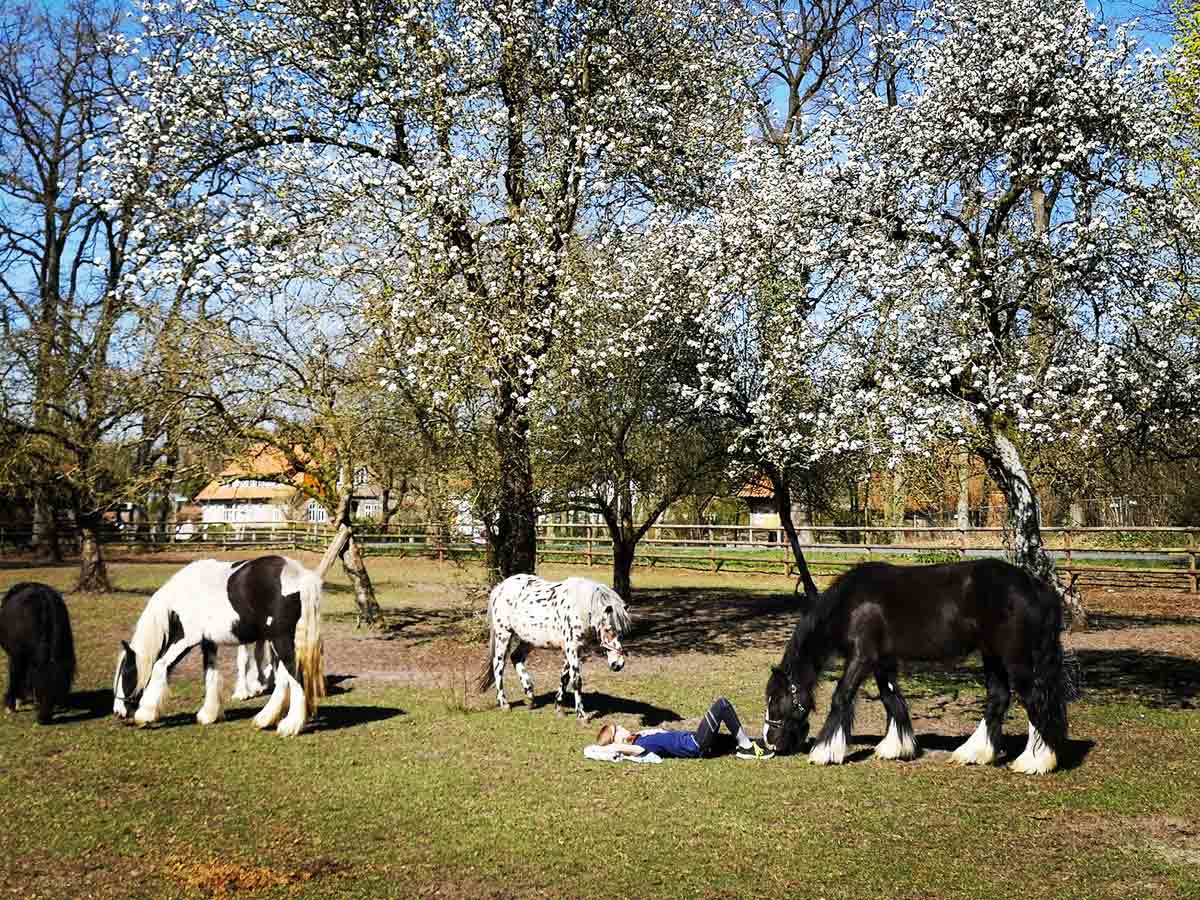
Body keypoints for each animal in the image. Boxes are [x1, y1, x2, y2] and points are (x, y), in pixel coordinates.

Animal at [1, 583, 75, 724]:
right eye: (39, 688)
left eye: (58, 689)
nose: (43, 719)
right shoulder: (16, 656)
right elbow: (14, 676)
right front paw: (10, 705)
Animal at [113, 555, 324, 736]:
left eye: (126, 674)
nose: (117, 712)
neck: (183, 594)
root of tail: (300, 575)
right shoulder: (208, 642)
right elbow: (210, 673)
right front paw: (209, 714)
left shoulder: (185, 640)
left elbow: (160, 666)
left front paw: (145, 714)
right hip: (277, 643)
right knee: (282, 677)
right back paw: (265, 719)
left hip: (280, 640)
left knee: (295, 675)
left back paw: (290, 726)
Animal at [478, 575, 631, 719]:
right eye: (608, 630)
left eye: (621, 631)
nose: (618, 664)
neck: (579, 608)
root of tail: (500, 587)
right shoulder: (571, 647)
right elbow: (576, 679)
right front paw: (582, 715)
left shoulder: (575, 649)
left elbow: (565, 677)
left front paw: (559, 707)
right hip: (503, 634)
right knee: (498, 665)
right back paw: (504, 703)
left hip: (529, 640)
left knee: (516, 657)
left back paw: (530, 696)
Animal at [763, 559, 1077, 775]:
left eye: (776, 701)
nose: (770, 741)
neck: (852, 604)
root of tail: (1037, 587)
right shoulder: (882, 661)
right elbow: (892, 700)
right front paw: (896, 747)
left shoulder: (862, 658)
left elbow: (841, 697)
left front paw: (824, 751)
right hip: (992, 656)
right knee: (998, 699)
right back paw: (974, 753)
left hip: (1016, 659)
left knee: (1033, 700)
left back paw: (1034, 761)